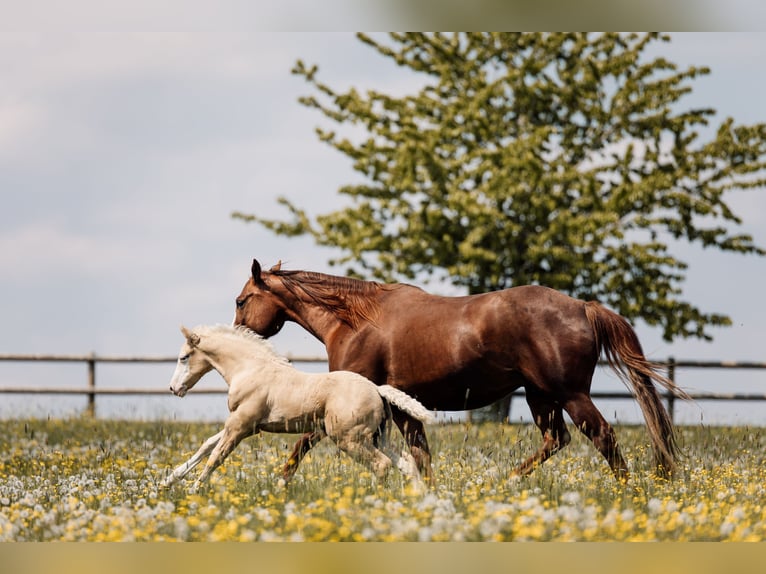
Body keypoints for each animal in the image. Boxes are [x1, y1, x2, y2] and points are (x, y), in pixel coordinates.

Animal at [161, 324, 432, 490]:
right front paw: (168, 481)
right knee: (407, 463)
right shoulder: (244, 425)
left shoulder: (240, 426)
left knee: (381, 465)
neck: (251, 369)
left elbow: (216, 457)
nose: (174, 388)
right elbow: (207, 445)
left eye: (184, 357)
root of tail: (377, 389)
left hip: (349, 439)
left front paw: (194, 491)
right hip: (377, 437)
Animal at [234, 259, 691, 484]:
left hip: (570, 395)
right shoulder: (399, 407)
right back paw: (503, 483)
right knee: (556, 439)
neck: (354, 320)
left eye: (241, 301)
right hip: (541, 396)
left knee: (602, 438)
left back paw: (626, 494)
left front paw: (280, 484)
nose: (237, 335)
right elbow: (420, 456)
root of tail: (583, 307)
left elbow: (304, 442)